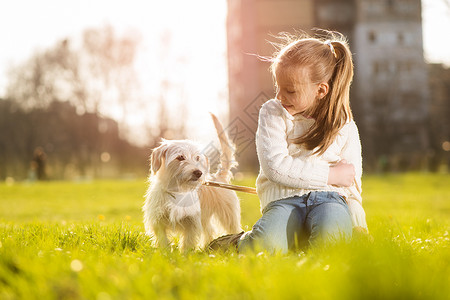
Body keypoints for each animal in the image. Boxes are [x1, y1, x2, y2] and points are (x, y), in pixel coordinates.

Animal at [144, 113, 243, 250]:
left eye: (197, 158)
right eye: (180, 157)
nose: (198, 172)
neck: (178, 190)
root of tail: (219, 177)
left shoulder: (192, 222)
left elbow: (188, 242)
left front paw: (185, 255)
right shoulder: (158, 222)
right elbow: (163, 240)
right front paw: (165, 253)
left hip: (228, 217)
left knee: (233, 230)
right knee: (209, 231)